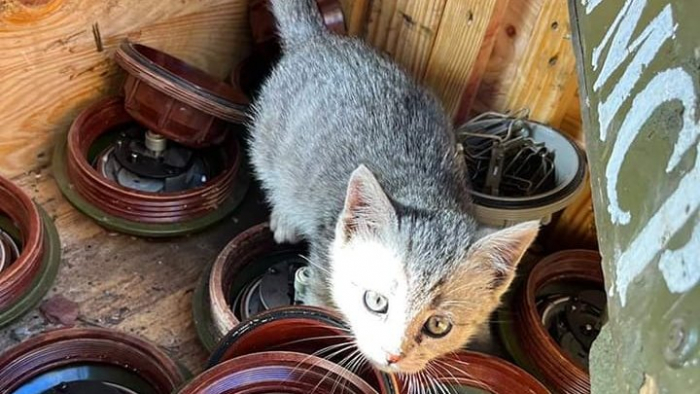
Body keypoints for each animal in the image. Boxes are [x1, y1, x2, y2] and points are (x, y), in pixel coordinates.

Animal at [249, 0, 540, 376]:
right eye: (376, 302)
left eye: (438, 326)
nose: (393, 355)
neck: (425, 191)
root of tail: (321, 39)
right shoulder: (323, 258)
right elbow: (318, 305)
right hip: (269, 145)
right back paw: (284, 217)